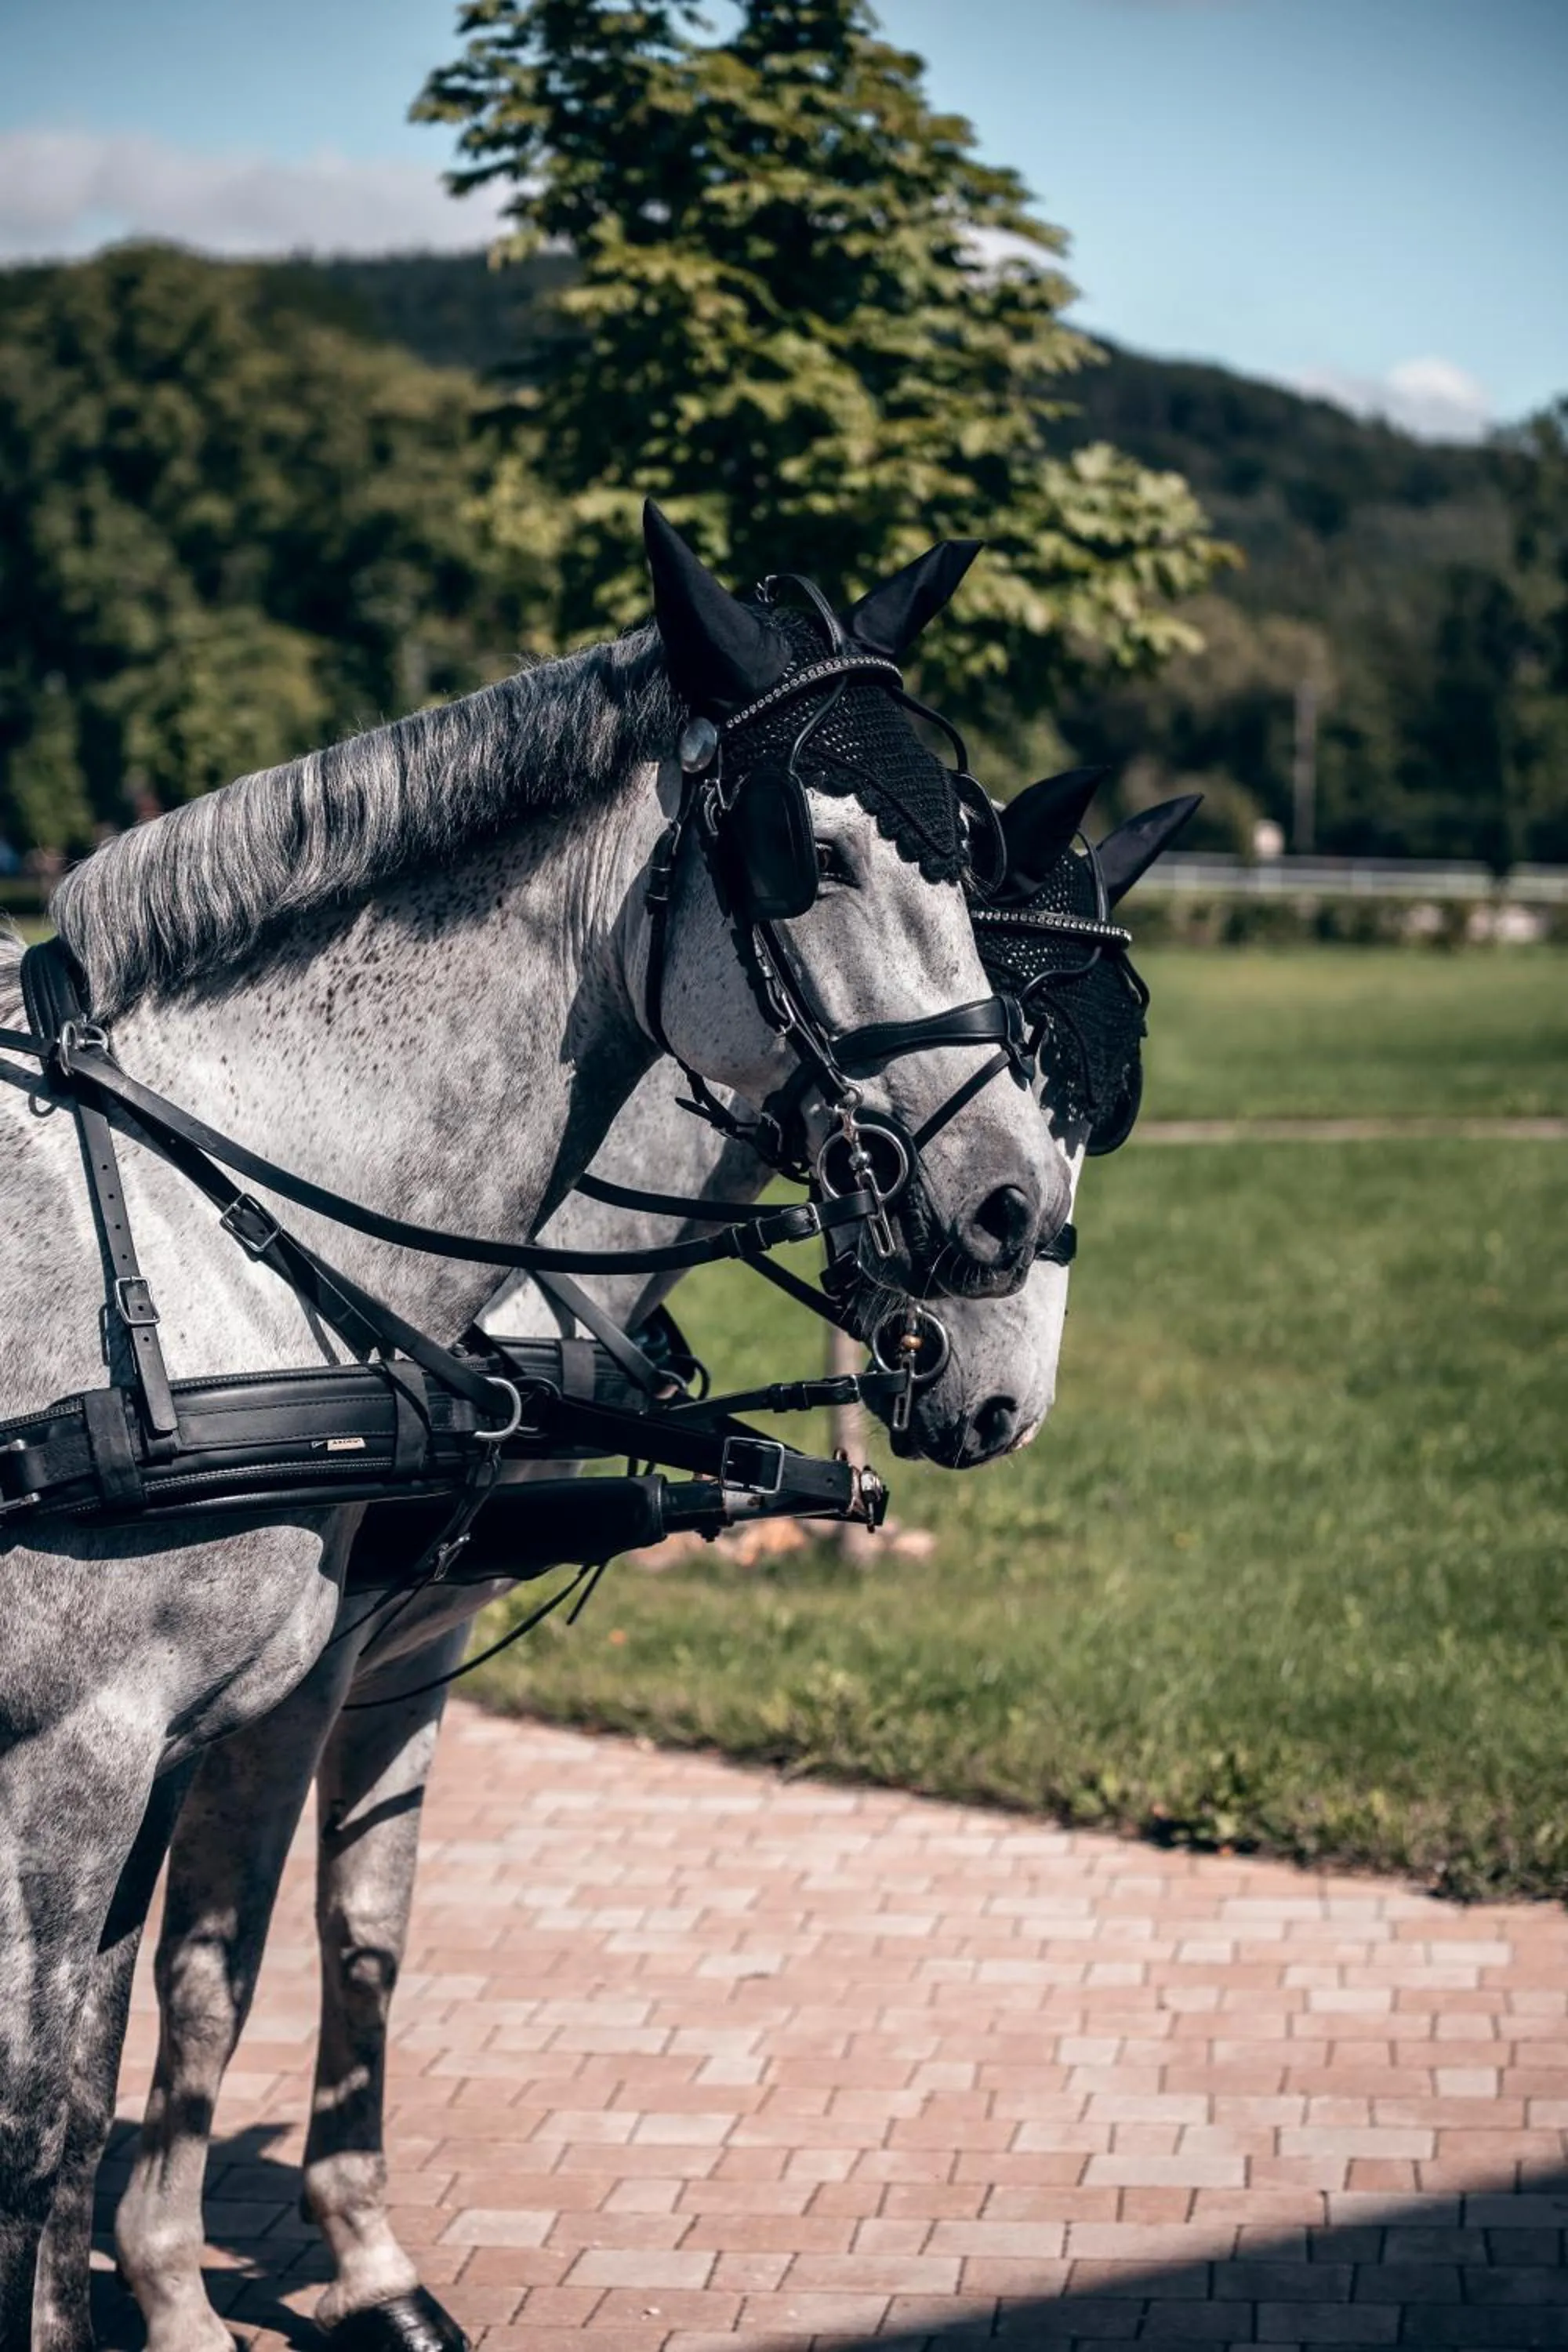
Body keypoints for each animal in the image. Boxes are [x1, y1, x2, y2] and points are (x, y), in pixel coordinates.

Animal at [1, 507, 1065, 2346]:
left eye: (970, 851)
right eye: (809, 858)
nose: (1003, 1213)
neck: (216, 1229)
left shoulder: (312, 1680)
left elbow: (300, 1953)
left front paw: (333, 2265)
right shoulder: (94, 1746)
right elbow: (107, 2064)